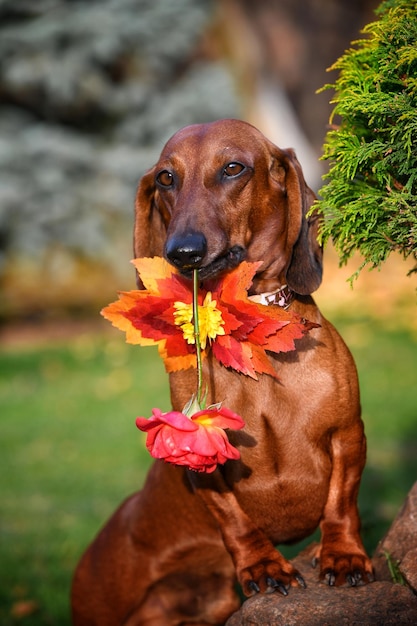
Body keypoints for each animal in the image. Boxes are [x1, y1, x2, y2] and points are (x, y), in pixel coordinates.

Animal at [71, 118, 374, 624]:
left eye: (234, 168)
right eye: (166, 178)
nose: (183, 251)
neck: (248, 328)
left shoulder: (347, 434)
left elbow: (343, 501)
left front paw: (342, 554)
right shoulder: (199, 458)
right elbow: (234, 519)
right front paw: (264, 566)